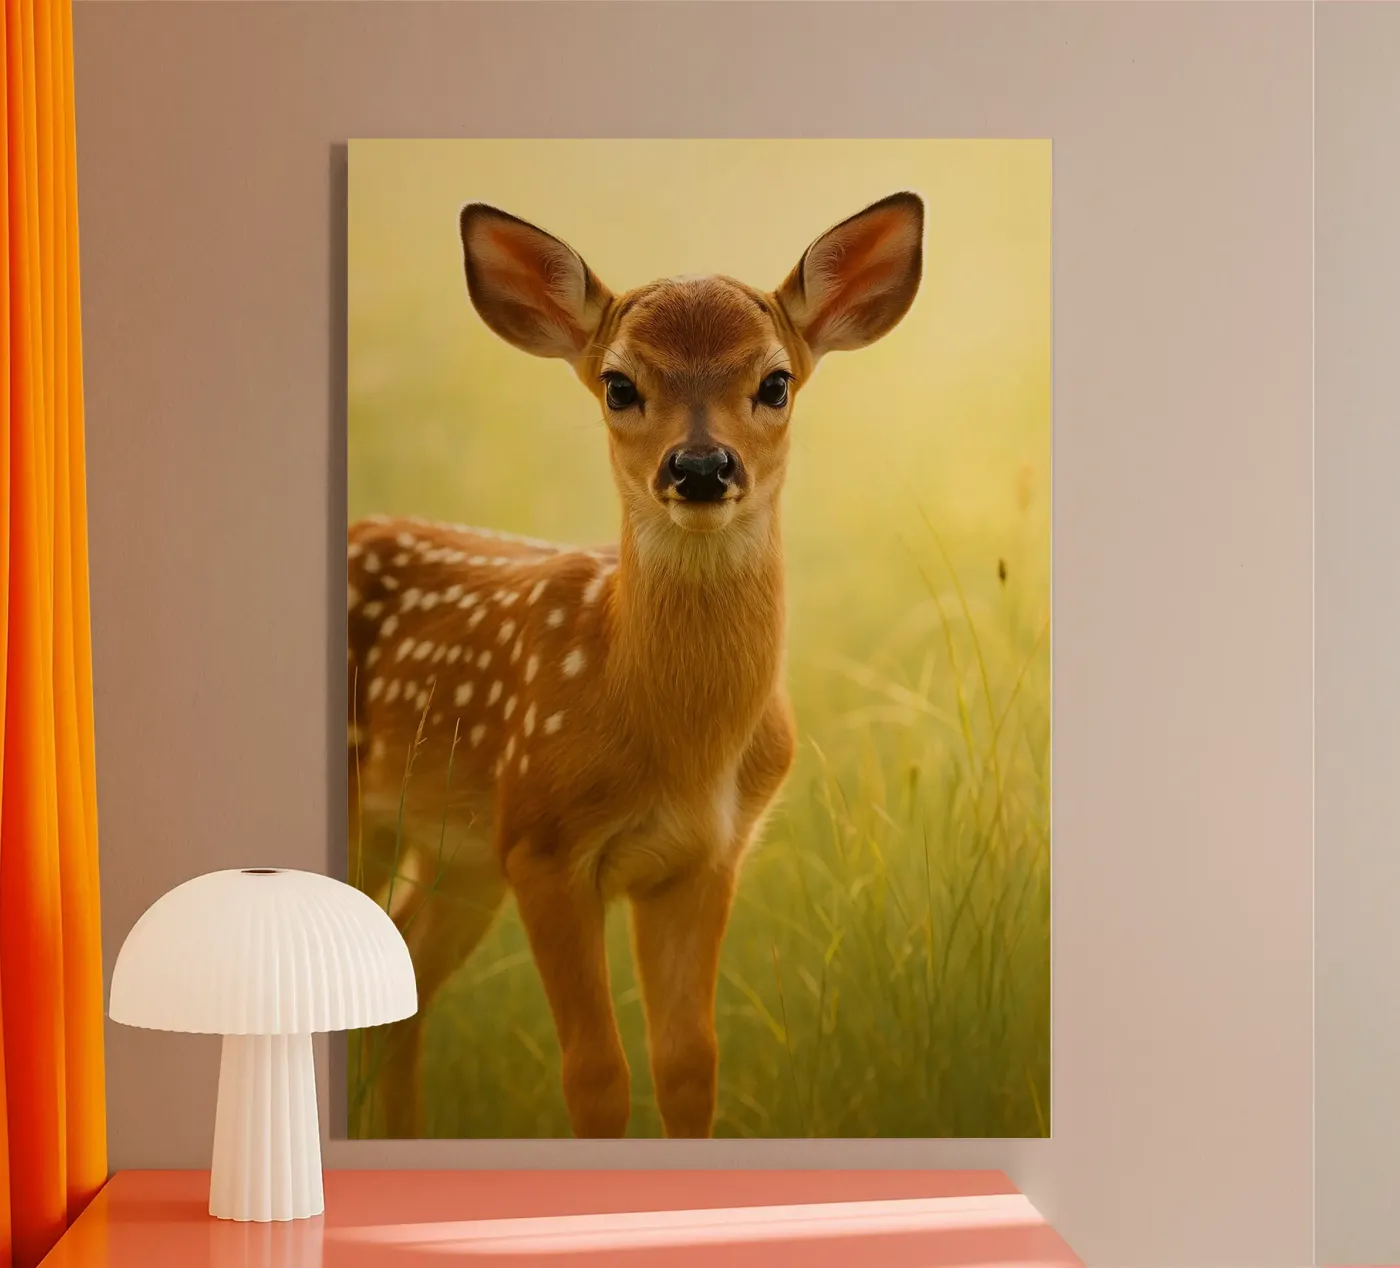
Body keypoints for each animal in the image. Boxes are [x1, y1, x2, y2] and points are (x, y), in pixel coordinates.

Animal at [347, 190, 925, 1140]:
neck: (675, 743)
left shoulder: (705, 858)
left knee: (400, 980)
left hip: (456, 853)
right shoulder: (541, 845)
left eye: (775, 382)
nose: (700, 466)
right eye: (620, 385)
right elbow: (596, 1074)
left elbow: (688, 1064)